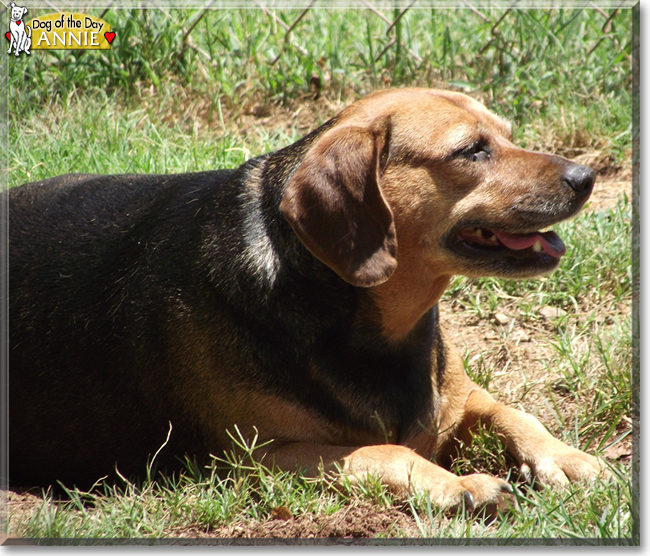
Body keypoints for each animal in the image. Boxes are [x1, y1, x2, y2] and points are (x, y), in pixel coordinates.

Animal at [7, 88, 604, 512]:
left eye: (507, 136)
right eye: (471, 151)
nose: (586, 177)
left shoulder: (461, 400)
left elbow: (517, 415)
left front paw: (569, 459)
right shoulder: (261, 459)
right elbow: (385, 451)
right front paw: (457, 484)